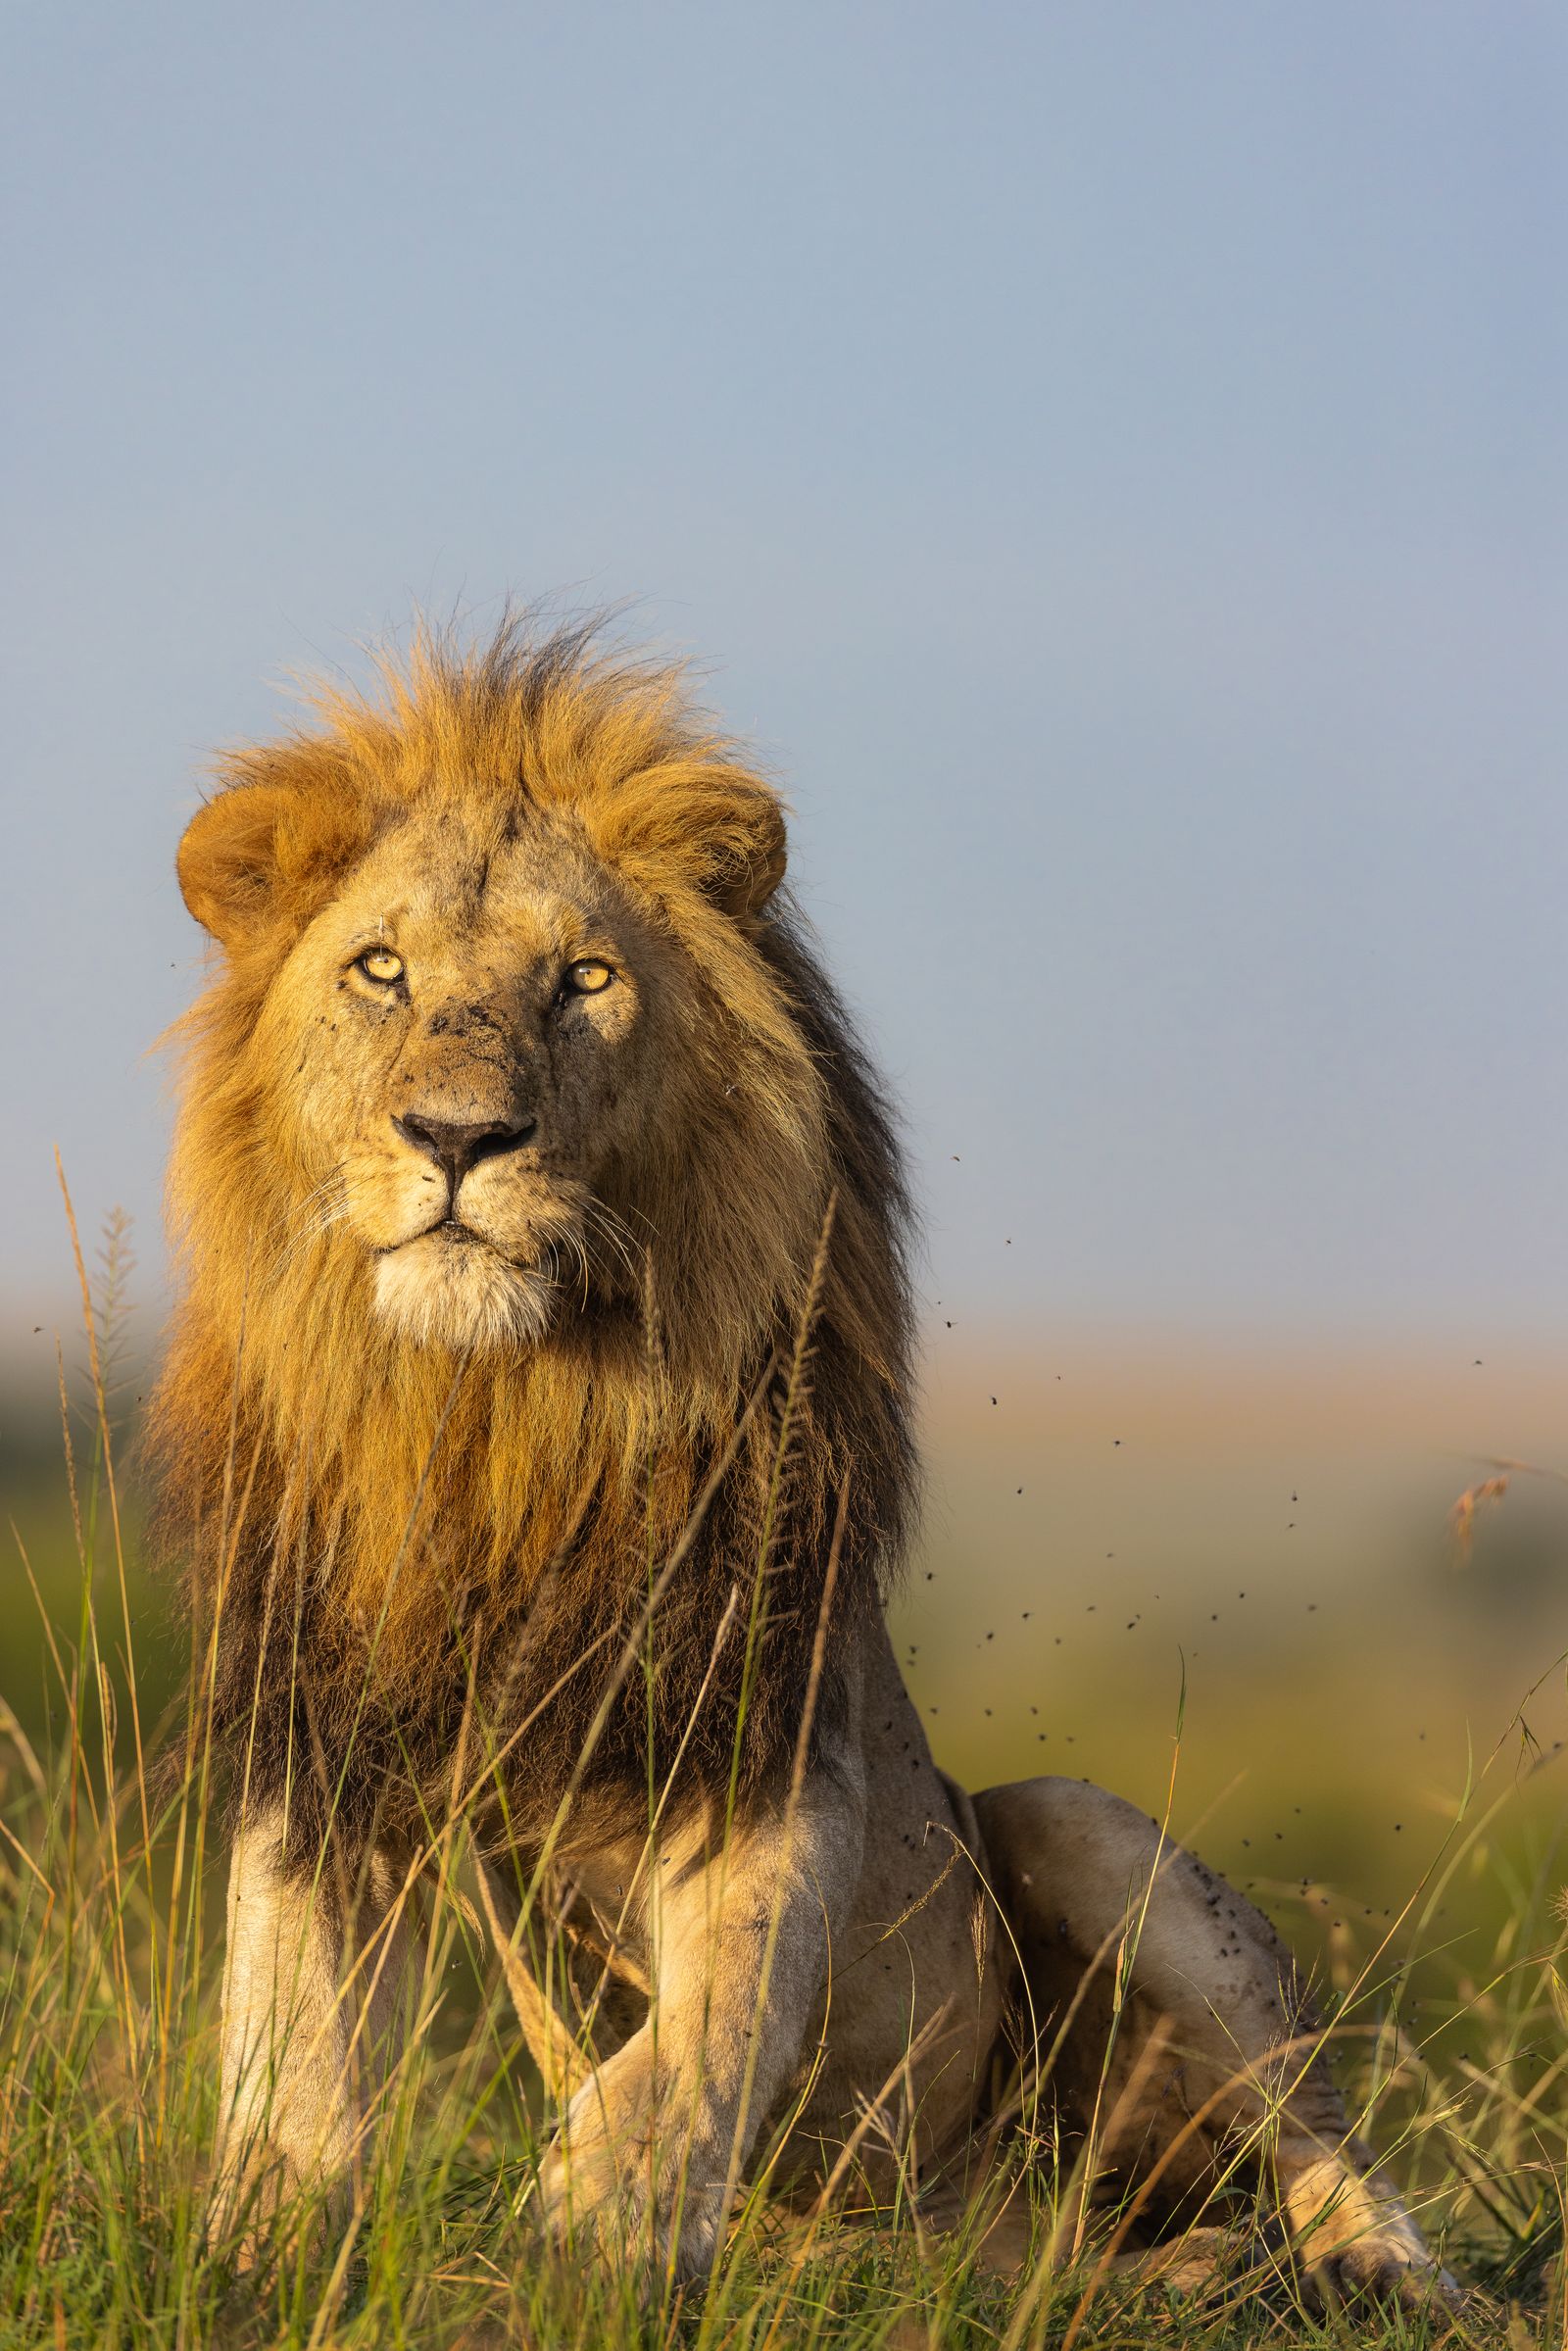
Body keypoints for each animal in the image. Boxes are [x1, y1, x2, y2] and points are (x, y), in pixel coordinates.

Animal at [152, 617, 1448, 2307]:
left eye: (584, 979)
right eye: (382, 969)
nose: (458, 1136)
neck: (500, 1419)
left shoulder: (768, 1727)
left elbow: (697, 2034)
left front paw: (606, 2223)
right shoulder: (320, 1734)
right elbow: (292, 2032)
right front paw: (253, 2246)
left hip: (1077, 1825)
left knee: (1336, 2154)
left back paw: (1380, 2278)